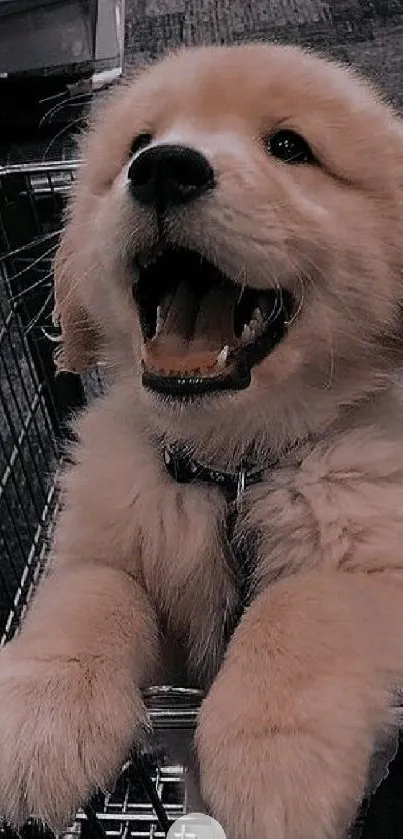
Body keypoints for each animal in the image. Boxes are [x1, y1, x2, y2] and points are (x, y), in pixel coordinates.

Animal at [0, 44, 403, 839]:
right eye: (138, 142)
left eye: (290, 147)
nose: (162, 168)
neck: (231, 467)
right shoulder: (102, 545)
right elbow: (94, 595)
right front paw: (37, 715)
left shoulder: (382, 552)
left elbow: (308, 603)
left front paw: (271, 758)